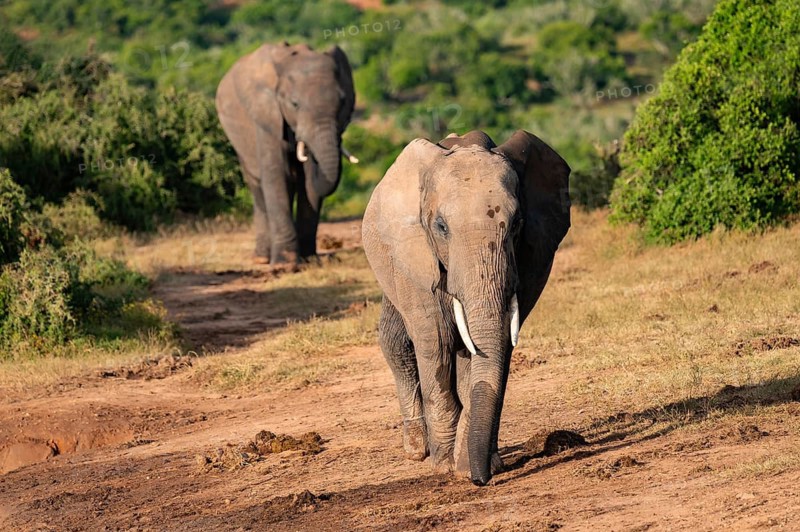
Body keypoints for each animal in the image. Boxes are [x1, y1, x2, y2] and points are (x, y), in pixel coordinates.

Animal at [215, 42, 356, 263]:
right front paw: (285, 264)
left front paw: (310, 260)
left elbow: (306, 182)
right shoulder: (266, 116)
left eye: (343, 102)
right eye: (295, 104)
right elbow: (277, 175)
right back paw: (262, 258)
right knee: (257, 186)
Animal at [362, 130, 571, 486]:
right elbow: (436, 343)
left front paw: (469, 467)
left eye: (517, 224)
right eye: (441, 227)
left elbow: (495, 348)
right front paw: (445, 467)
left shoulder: (533, 256)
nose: (480, 480)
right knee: (396, 341)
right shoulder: (414, 256)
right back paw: (417, 449)